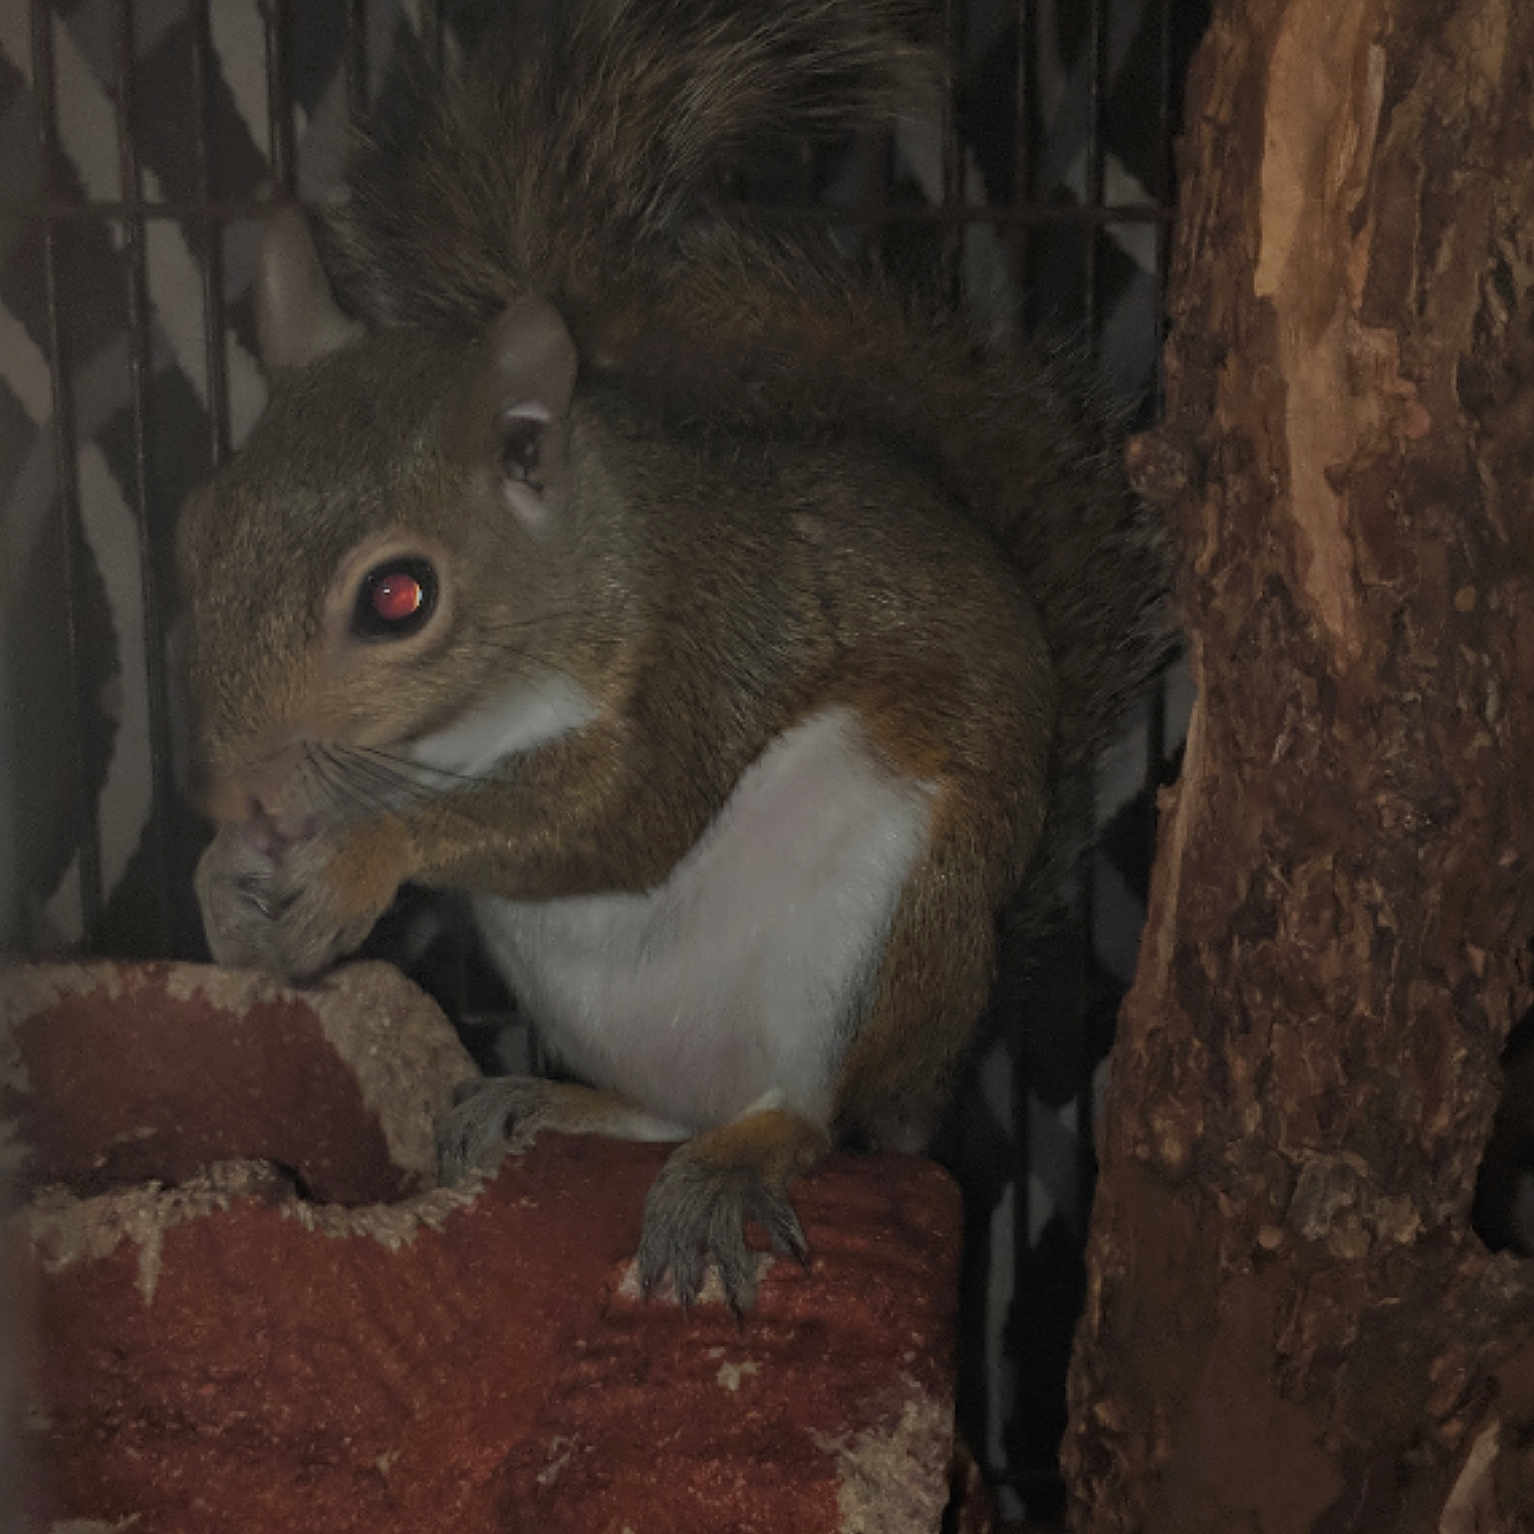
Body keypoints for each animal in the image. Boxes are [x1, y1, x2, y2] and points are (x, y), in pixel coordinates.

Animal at [180, 0, 1172, 1310]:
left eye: (399, 596)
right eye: (200, 523)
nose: (236, 788)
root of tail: (935, 1063)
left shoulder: (706, 646)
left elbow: (626, 817)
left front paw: (359, 858)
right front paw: (225, 881)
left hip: (875, 931)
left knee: (808, 1114)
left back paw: (736, 1163)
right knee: (665, 1107)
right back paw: (544, 1100)